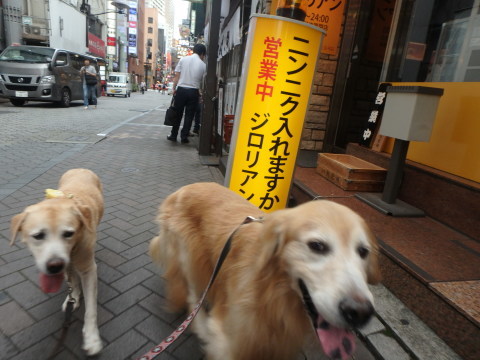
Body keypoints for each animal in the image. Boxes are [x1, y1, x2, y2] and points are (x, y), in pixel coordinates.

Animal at [10, 168, 104, 354]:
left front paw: (91, 338)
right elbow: (72, 282)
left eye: (68, 233)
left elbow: (91, 309)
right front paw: (72, 298)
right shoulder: (67, 264)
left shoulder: (88, 269)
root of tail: (80, 168)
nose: (54, 266)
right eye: (38, 236)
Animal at [150, 183, 382, 360]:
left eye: (363, 251)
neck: (272, 295)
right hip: (189, 254)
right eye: (317, 246)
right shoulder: (231, 342)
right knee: (191, 291)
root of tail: (183, 189)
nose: (360, 312)